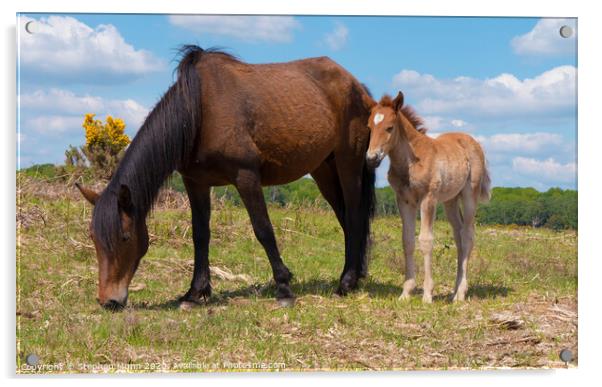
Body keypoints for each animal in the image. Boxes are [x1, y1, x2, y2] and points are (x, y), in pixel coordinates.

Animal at [75, 46, 376, 312]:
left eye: (125, 237)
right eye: (93, 238)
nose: (108, 301)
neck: (200, 111)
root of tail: (356, 85)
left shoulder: (246, 177)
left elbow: (263, 230)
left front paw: (284, 288)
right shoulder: (195, 183)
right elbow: (200, 235)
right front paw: (194, 293)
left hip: (348, 162)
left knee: (353, 213)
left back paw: (346, 282)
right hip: (324, 169)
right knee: (344, 217)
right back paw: (355, 276)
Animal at [364, 93, 490, 304]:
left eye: (390, 127)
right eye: (369, 127)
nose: (371, 158)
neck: (410, 160)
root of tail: (473, 142)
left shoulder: (428, 199)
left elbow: (425, 240)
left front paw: (427, 294)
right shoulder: (404, 201)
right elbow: (407, 241)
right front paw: (406, 292)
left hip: (469, 194)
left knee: (467, 235)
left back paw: (461, 293)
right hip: (450, 200)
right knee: (458, 235)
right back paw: (454, 291)